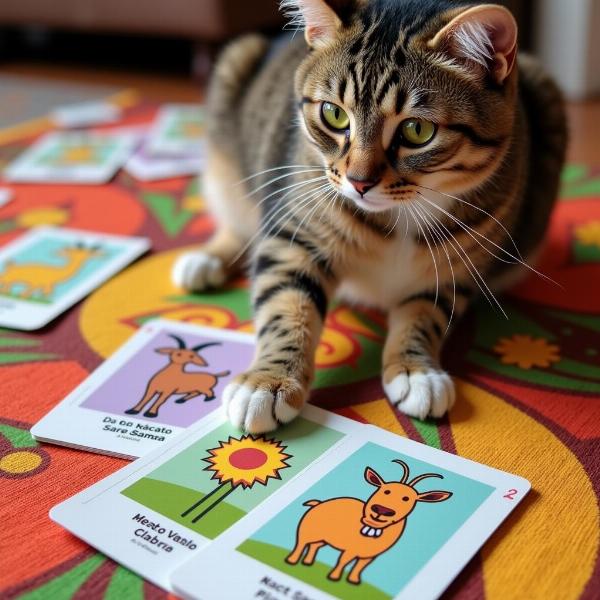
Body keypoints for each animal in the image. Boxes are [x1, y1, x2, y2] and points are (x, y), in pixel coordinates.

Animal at [171, 0, 564, 432]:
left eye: (417, 130)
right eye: (334, 114)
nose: (359, 182)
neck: (402, 214)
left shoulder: (456, 268)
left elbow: (424, 314)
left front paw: (415, 370)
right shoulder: (297, 234)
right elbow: (286, 304)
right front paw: (267, 381)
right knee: (236, 220)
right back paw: (205, 259)